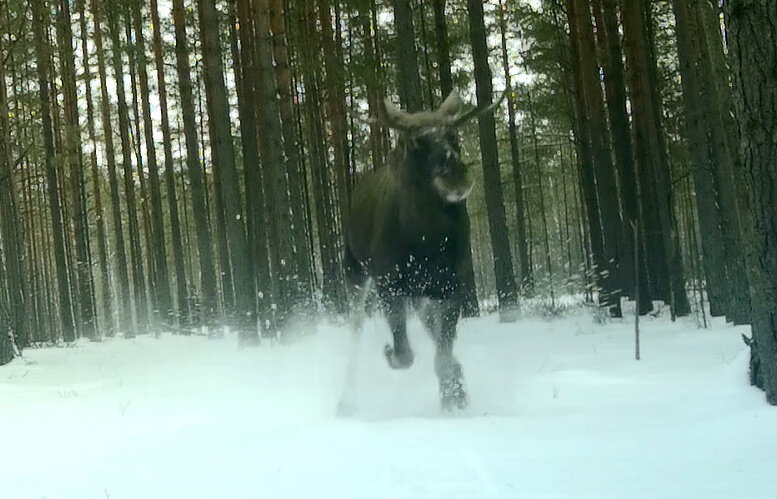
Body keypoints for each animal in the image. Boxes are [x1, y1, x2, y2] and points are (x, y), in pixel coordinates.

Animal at [342, 92, 504, 412]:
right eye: (416, 141)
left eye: (453, 134)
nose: (455, 176)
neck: (426, 239)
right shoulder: (390, 285)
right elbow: (405, 354)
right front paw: (390, 352)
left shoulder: (451, 286)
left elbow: (443, 356)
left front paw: (454, 401)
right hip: (356, 273)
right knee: (354, 332)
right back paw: (344, 403)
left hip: (421, 293)